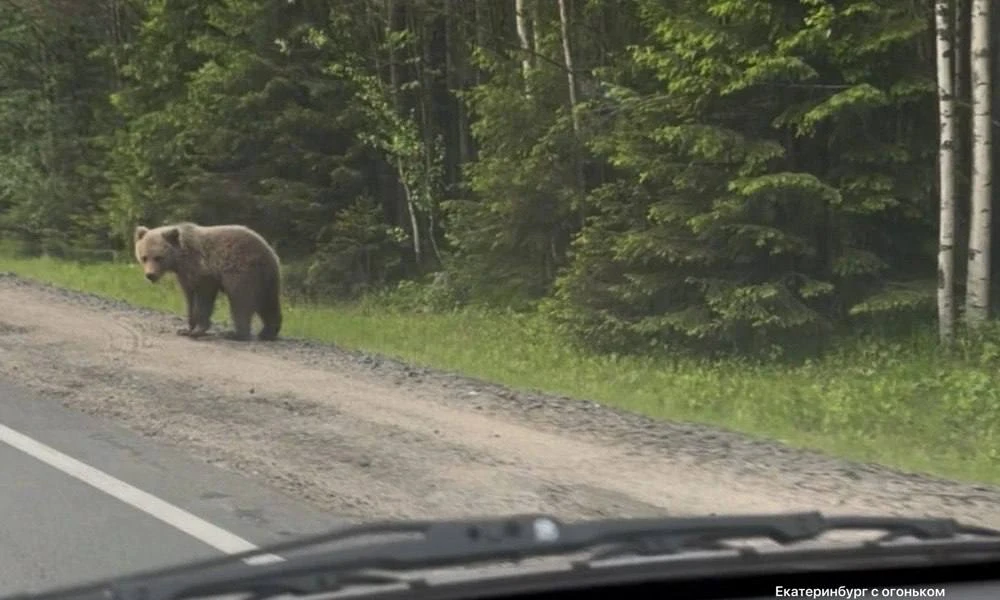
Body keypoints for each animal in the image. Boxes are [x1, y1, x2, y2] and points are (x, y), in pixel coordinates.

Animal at [133, 222, 283, 342]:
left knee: (241, 302)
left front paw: (198, 330)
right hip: (265, 280)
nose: (150, 275)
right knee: (267, 303)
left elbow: (203, 300)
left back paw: (235, 334)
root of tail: (271, 252)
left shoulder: (204, 272)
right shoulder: (185, 276)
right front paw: (185, 329)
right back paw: (268, 332)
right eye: (144, 257)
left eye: (158, 257)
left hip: (243, 272)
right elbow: (189, 298)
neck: (180, 260)